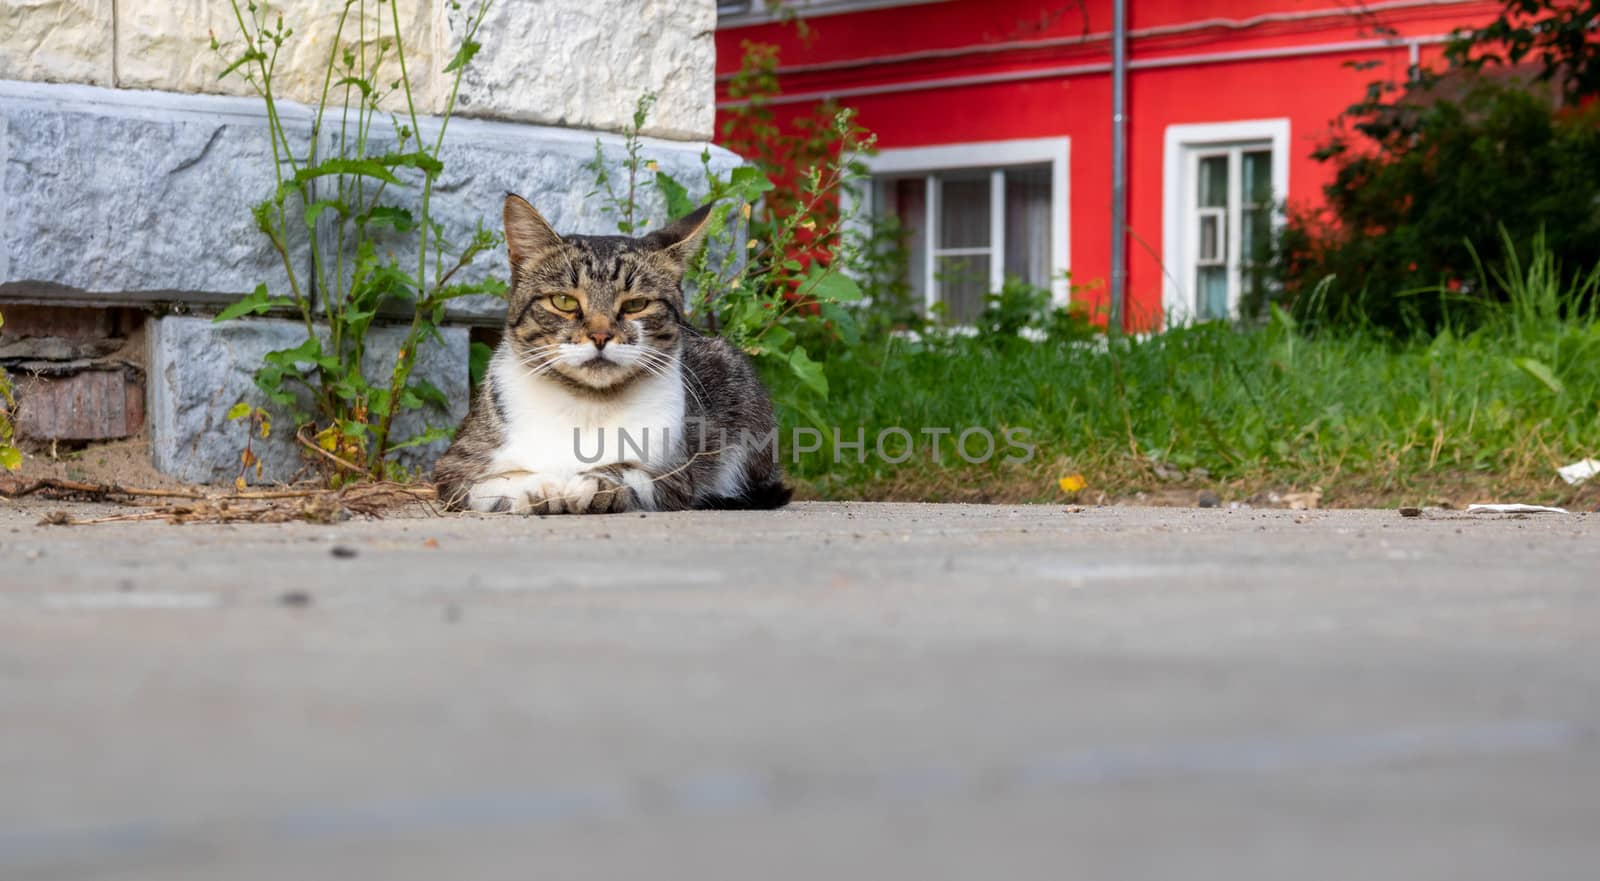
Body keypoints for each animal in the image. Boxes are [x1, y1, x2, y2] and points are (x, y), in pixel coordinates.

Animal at [435, 189, 790, 514]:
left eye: (636, 304)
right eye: (564, 302)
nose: (600, 335)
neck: (586, 406)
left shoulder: (675, 476)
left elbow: (630, 472)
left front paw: (593, 482)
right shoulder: (454, 469)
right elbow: (497, 482)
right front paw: (543, 485)